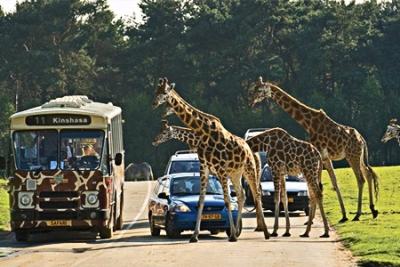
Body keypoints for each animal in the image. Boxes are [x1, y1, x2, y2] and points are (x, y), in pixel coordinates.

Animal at [152, 77, 268, 243]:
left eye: (164, 93)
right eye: (156, 91)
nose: (154, 104)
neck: (202, 132)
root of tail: (249, 150)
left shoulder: (220, 169)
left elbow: (226, 200)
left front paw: (232, 235)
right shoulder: (204, 167)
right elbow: (201, 200)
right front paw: (194, 236)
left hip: (249, 169)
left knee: (256, 193)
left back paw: (265, 232)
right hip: (236, 173)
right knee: (242, 195)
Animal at [250, 77, 378, 222]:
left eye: (259, 90)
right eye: (254, 88)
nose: (251, 101)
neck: (308, 123)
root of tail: (362, 139)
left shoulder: (319, 155)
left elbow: (318, 185)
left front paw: (310, 219)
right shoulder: (325, 157)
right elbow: (334, 183)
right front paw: (343, 215)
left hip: (352, 156)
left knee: (361, 179)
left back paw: (357, 214)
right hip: (359, 156)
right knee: (368, 174)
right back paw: (373, 210)